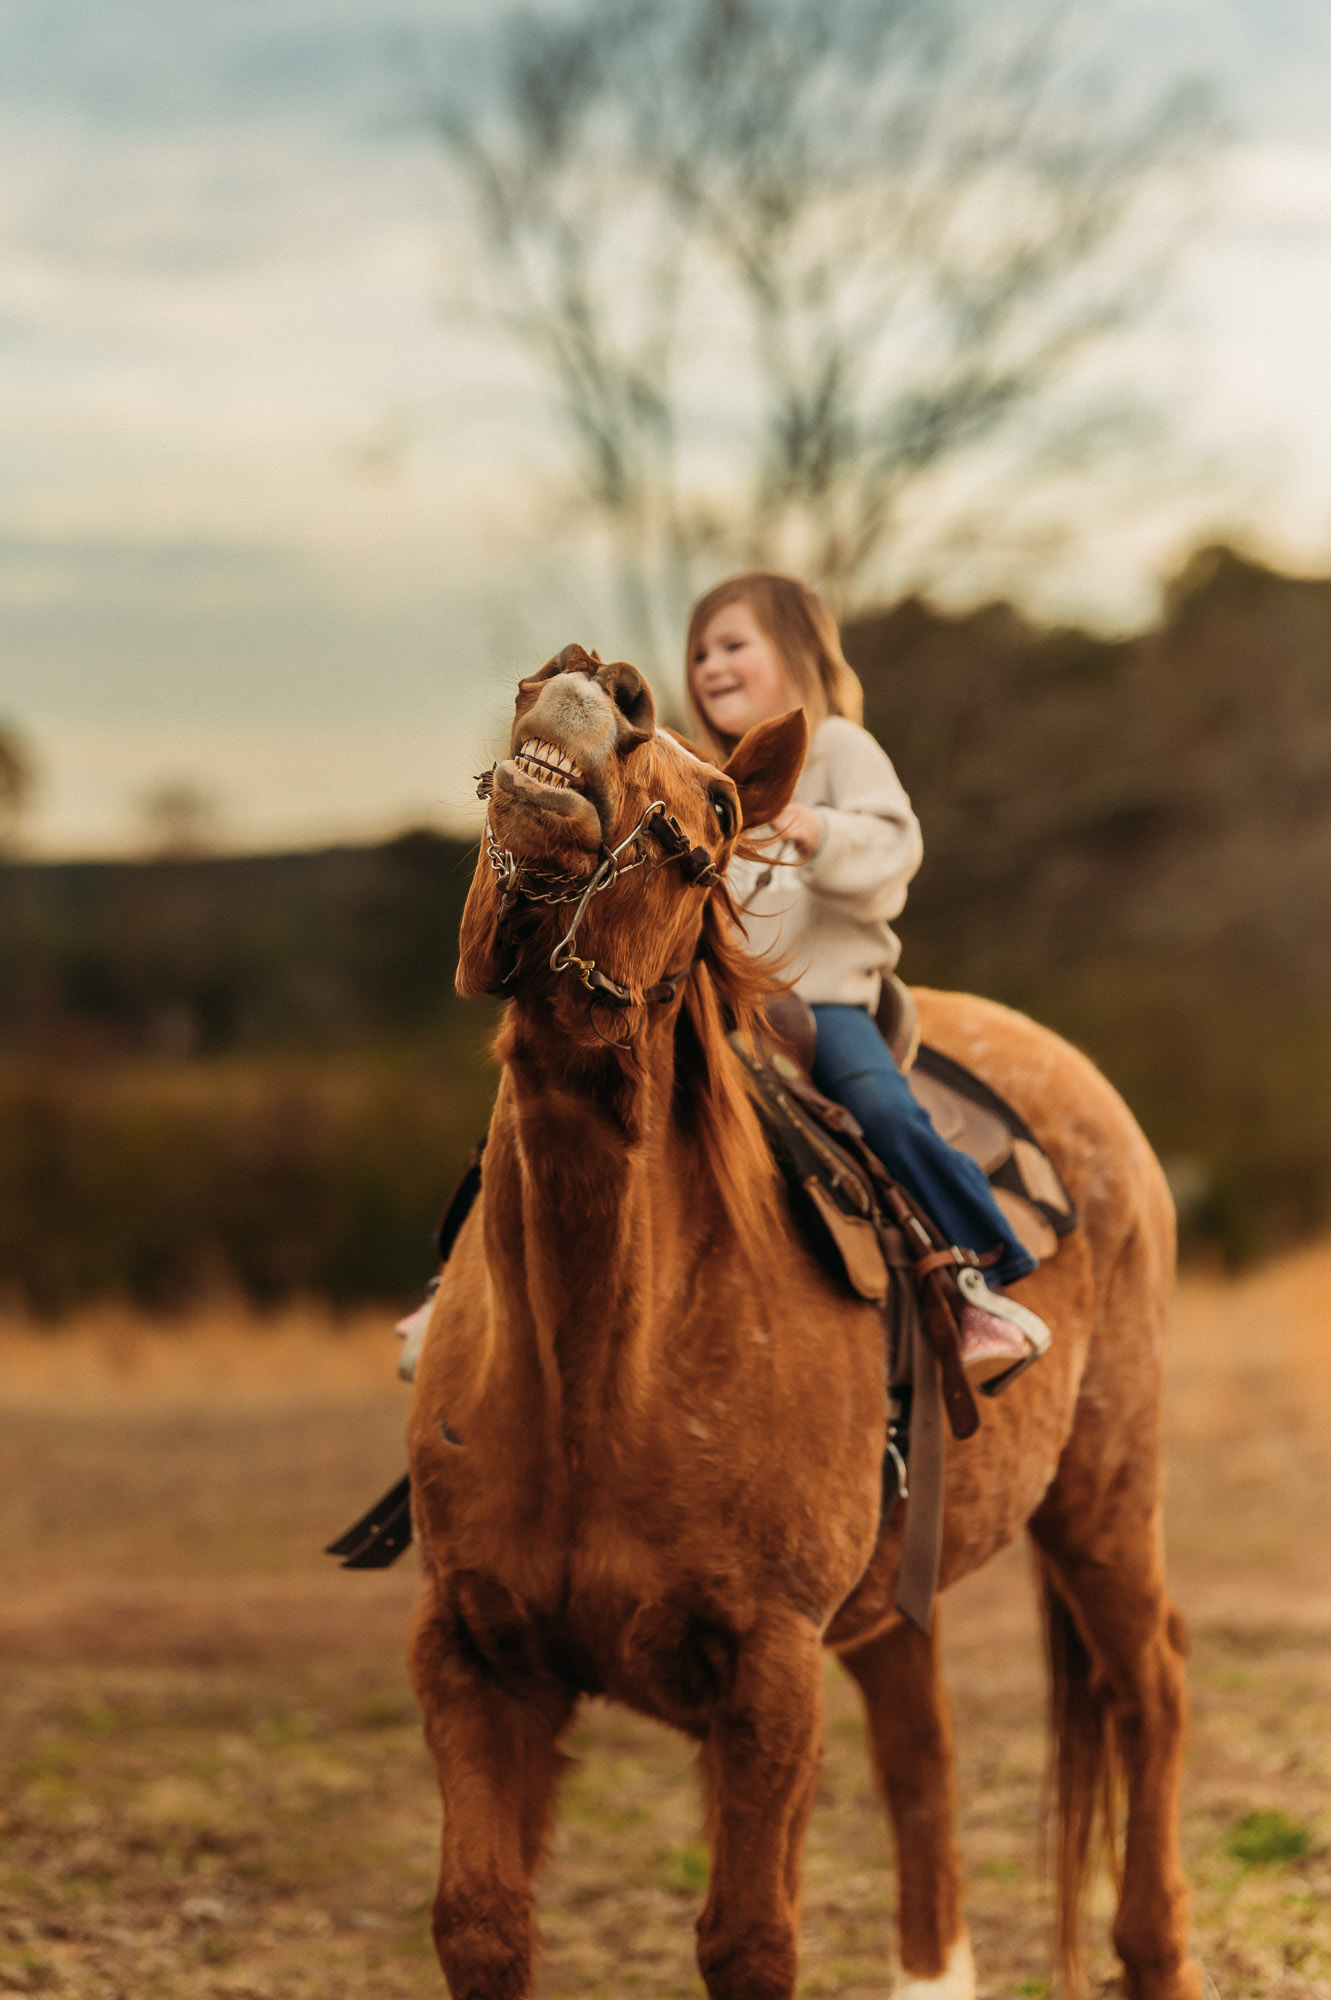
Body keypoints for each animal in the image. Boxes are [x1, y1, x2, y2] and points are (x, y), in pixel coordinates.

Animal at [405, 645, 1199, 2000]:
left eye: (727, 807)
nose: (593, 683)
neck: (597, 1363)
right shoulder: (473, 1656)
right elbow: (480, 1921)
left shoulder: (766, 1674)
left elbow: (748, 1937)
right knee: (923, 1750)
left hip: (1103, 1500)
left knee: (1149, 1692)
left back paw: (1156, 1953)